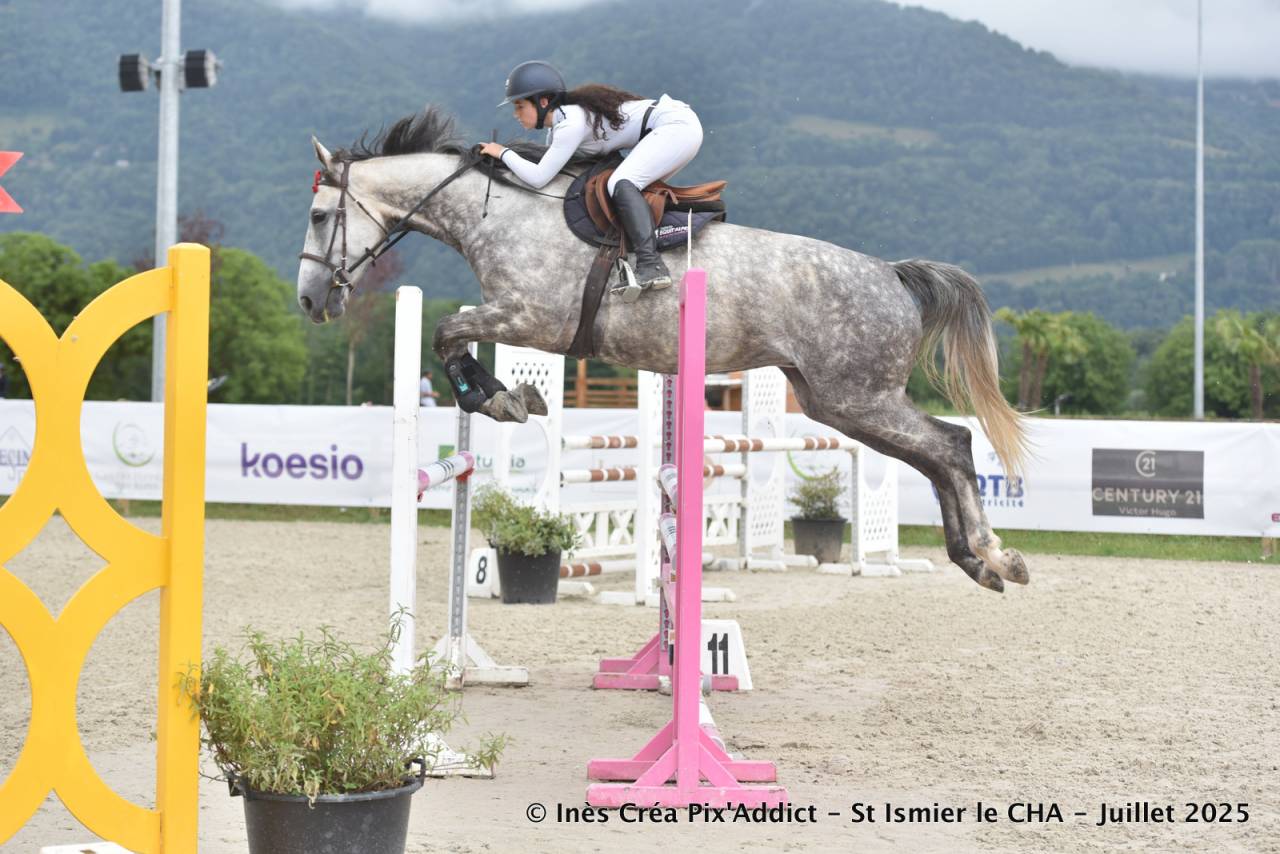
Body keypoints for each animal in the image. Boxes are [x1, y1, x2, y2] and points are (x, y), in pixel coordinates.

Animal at [296, 109, 1031, 593]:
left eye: (319, 216)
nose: (308, 301)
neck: (497, 213)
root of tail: (893, 274)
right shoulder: (518, 319)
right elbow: (451, 335)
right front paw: (512, 396)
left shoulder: (534, 319)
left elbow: (447, 333)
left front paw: (502, 399)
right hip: (837, 403)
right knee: (937, 455)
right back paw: (978, 561)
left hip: (858, 397)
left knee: (951, 446)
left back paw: (994, 558)